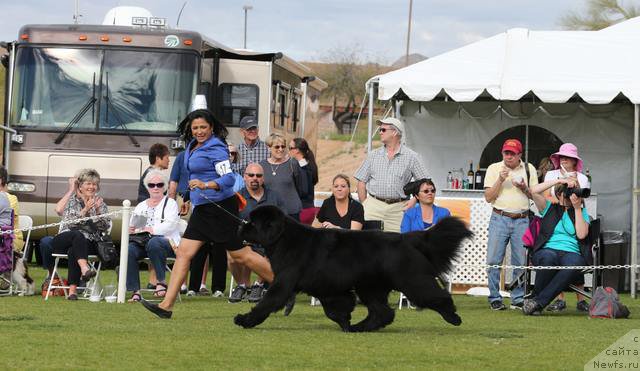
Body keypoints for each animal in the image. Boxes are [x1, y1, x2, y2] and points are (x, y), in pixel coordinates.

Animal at [234, 205, 470, 332]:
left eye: (253, 223)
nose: (240, 226)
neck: (284, 239)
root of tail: (407, 238)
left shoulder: (284, 282)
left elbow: (266, 303)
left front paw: (244, 320)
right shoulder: (327, 287)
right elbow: (334, 308)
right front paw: (346, 322)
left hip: (412, 281)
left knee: (437, 297)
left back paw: (454, 318)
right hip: (370, 287)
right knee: (382, 312)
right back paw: (360, 327)